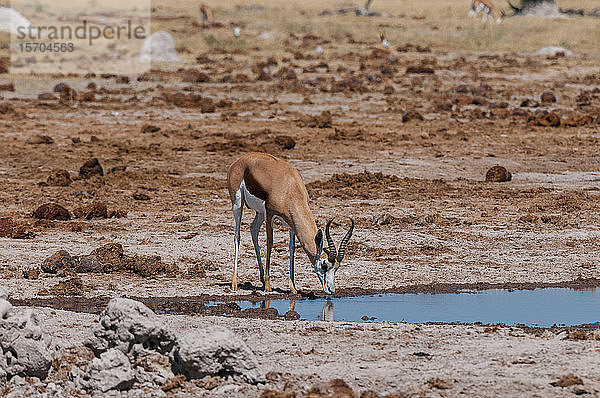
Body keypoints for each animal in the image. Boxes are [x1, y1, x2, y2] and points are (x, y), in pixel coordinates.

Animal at [227, 152, 354, 296]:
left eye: (337, 267)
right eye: (324, 265)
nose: (331, 290)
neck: (289, 187)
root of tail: (240, 160)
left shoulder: (291, 223)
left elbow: (292, 247)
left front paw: (293, 287)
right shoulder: (269, 214)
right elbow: (270, 243)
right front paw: (268, 286)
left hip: (259, 213)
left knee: (253, 229)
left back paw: (261, 280)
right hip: (238, 204)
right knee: (237, 236)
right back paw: (235, 284)